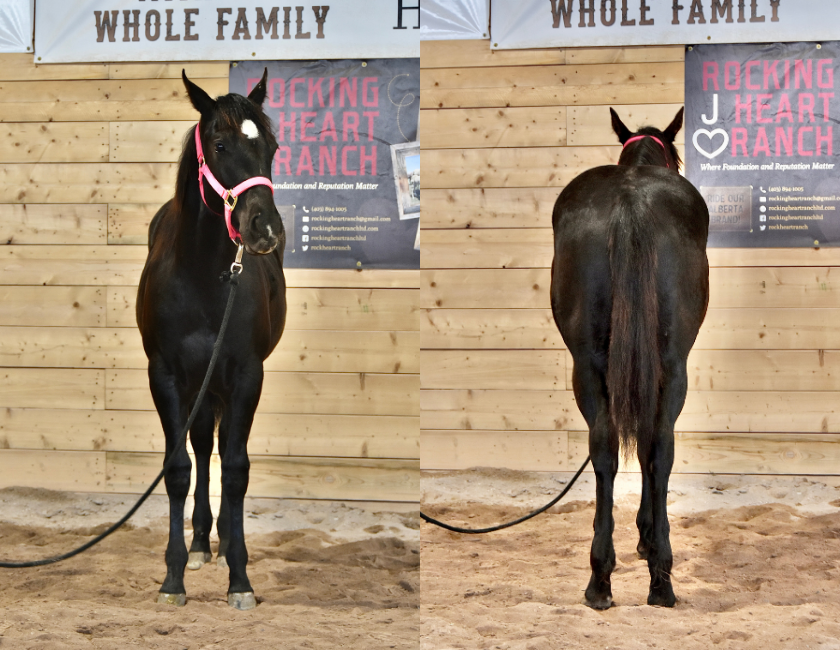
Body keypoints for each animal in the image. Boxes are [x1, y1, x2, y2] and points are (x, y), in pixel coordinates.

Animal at [136, 70, 286, 610]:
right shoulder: (165, 376)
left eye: (272, 147)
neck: (202, 275)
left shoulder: (245, 375)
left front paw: (240, 578)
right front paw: (173, 578)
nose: (265, 229)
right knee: (201, 446)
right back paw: (200, 543)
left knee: (215, 447)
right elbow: (178, 468)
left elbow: (236, 469)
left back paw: (215, 544)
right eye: (220, 145)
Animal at [549, 107, 709, 609]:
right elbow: (647, 449)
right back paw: (659, 577)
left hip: (589, 366)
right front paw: (645, 537)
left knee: (604, 448)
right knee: (660, 447)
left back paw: (601, 579)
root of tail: (630, 205)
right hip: (672, 369)